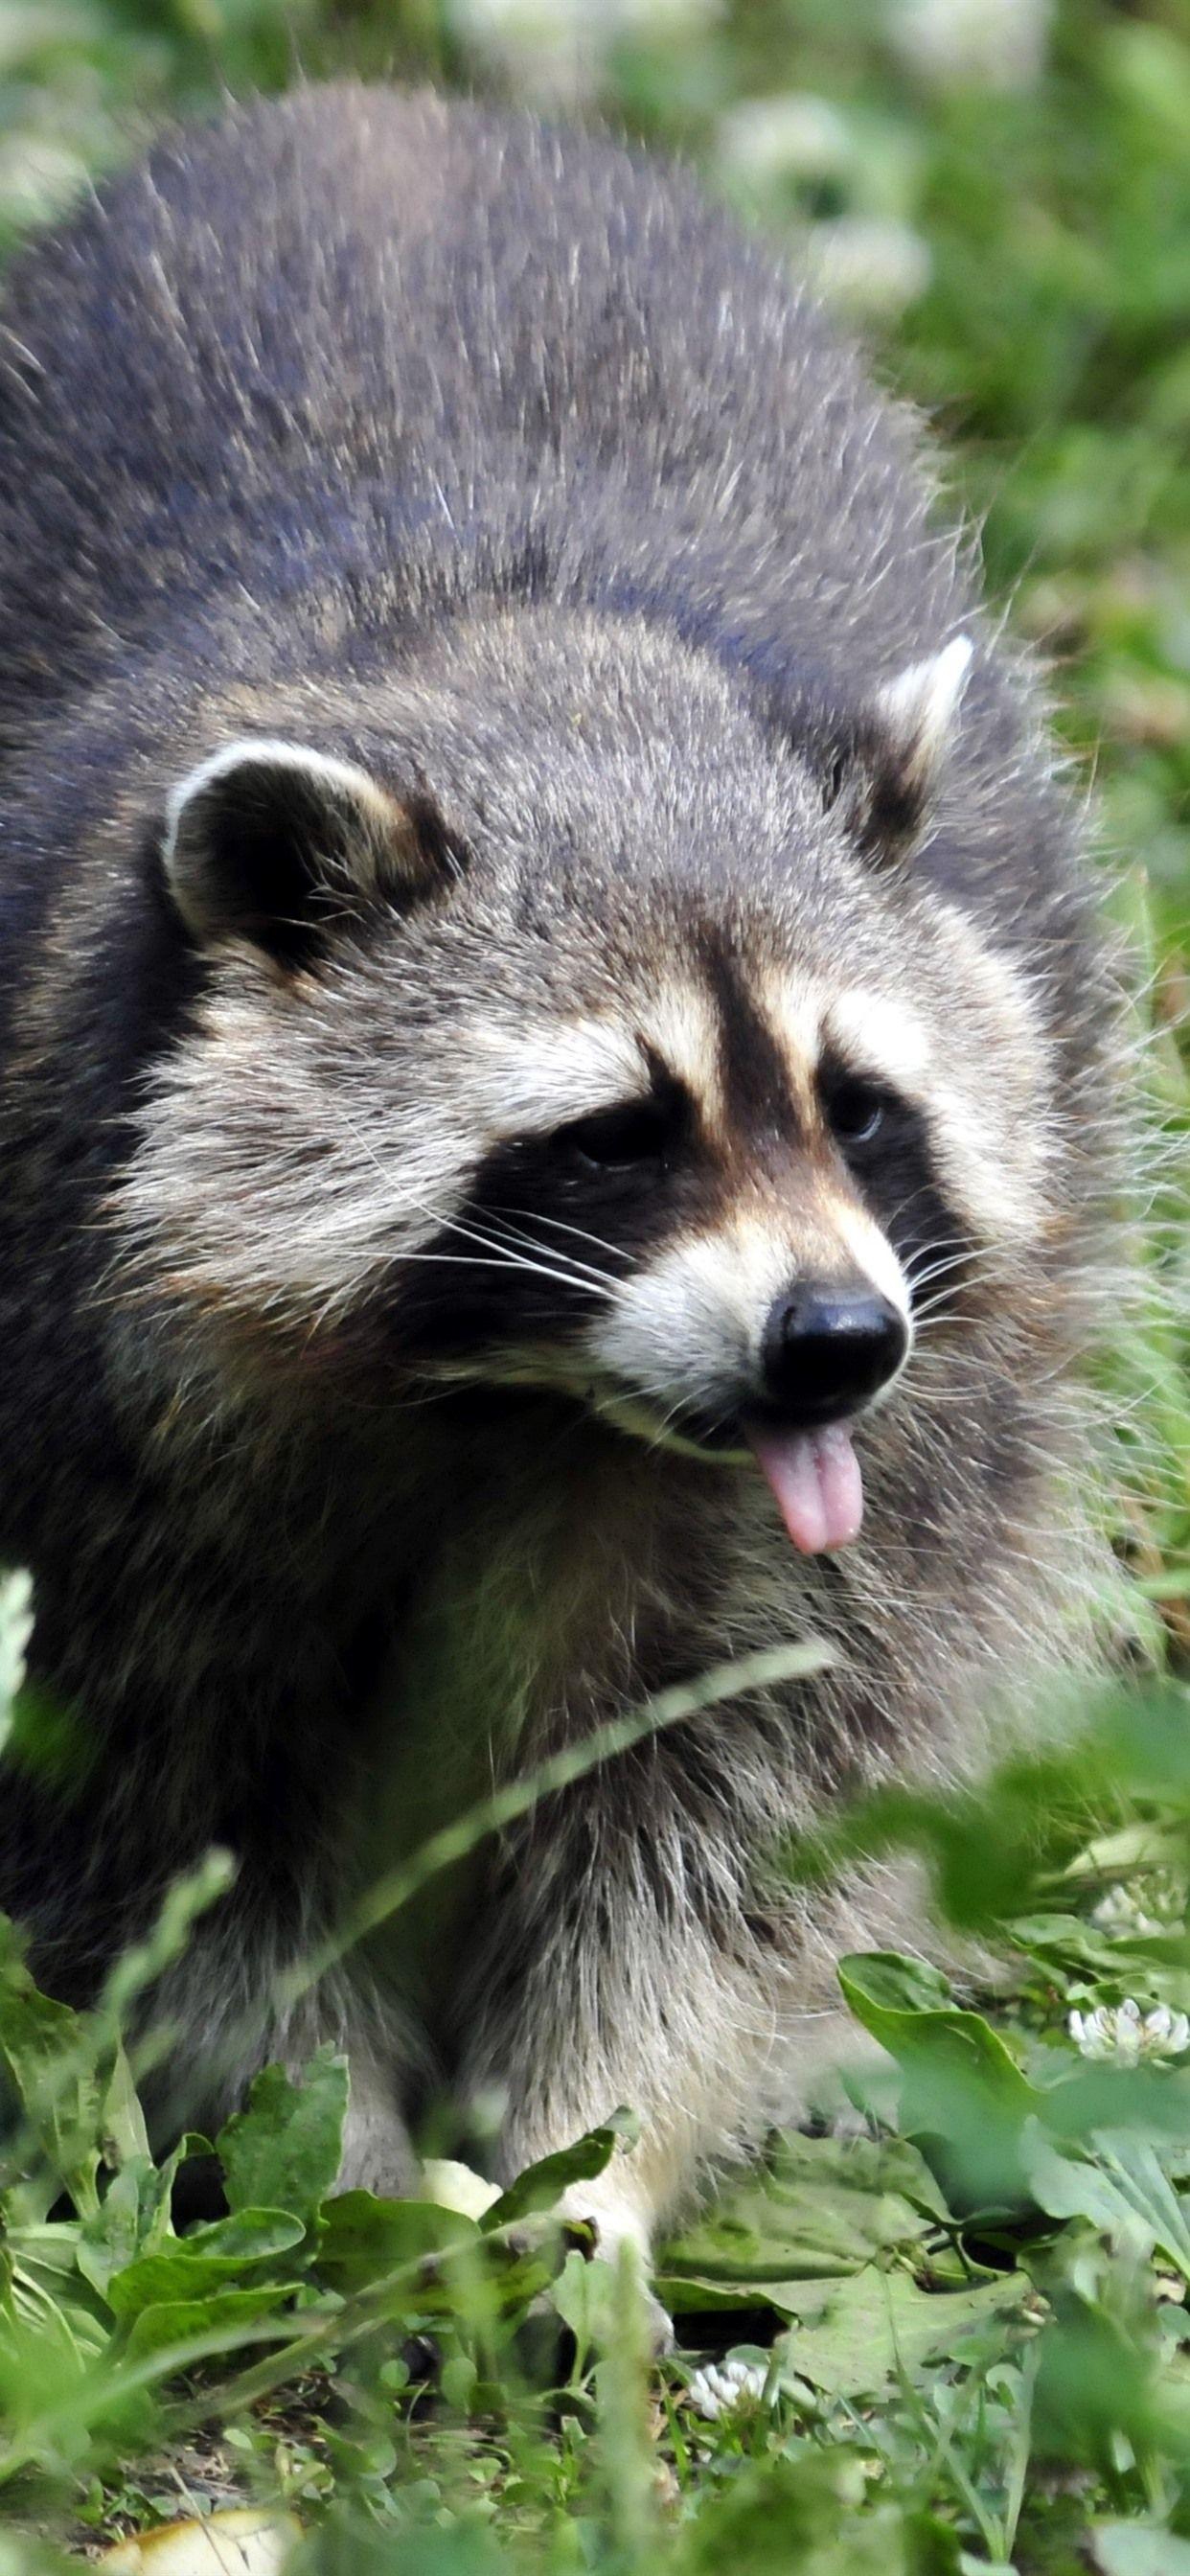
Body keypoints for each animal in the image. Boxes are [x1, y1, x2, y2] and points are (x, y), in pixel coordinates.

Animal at [0, 86, 1115, 2270]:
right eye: (616, 1134)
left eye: (861, 1105)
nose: (834, 1343)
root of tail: (382, 104)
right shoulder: (93, 1429)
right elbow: (180, 1835)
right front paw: (338, 2165)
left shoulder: (930, 1453)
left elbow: (748, 1825)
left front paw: (590, 2159)